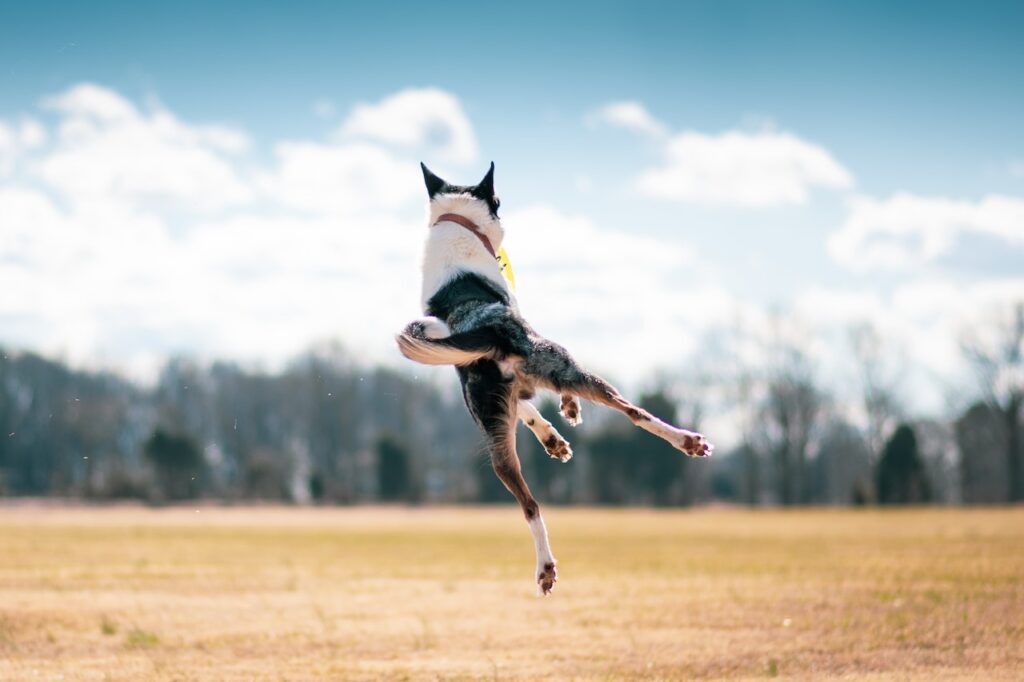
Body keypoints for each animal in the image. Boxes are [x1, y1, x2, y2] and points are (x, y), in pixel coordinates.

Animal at [395, 161, 716, 593]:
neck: (458, 226)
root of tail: (490, 330)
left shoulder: (500, 392)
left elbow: (528, 410)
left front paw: (553, 439)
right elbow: (549, 403)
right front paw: (568, 410)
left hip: (495, 440)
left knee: (529, 505)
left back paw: (545, 566)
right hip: (569, 366)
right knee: (632, 411)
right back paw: (688, 441)